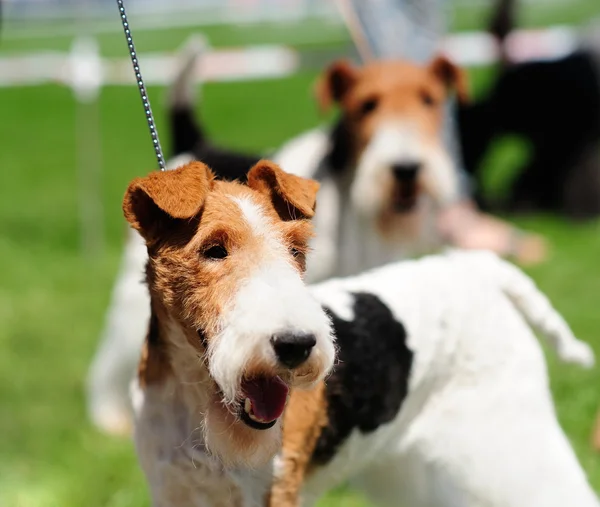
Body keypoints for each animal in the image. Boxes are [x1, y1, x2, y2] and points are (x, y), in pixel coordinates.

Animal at [123, 161, 596, 506]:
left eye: (296, 250)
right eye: (214, 249)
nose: (296, 345)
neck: (194, 397)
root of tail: (476, 266)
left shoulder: (273, 492)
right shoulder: (175, 490)